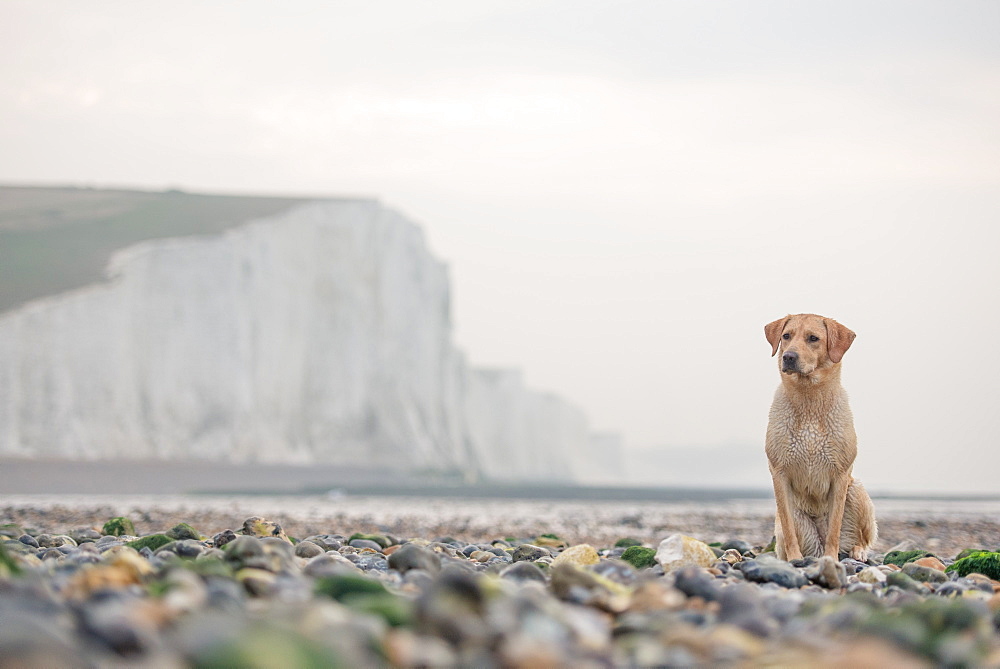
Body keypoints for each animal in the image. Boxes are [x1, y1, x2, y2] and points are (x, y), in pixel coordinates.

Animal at [764, 314, 876, 560]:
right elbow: (789, 530)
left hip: (857, 491)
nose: (788, 357)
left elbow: (834, 528)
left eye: (813, 338)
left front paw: (831, 559)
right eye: (786, 336)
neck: (809, 399)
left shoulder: (840, 475)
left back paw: (857, 550)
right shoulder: (779, 474)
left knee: (860, 537)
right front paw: (794, 560)